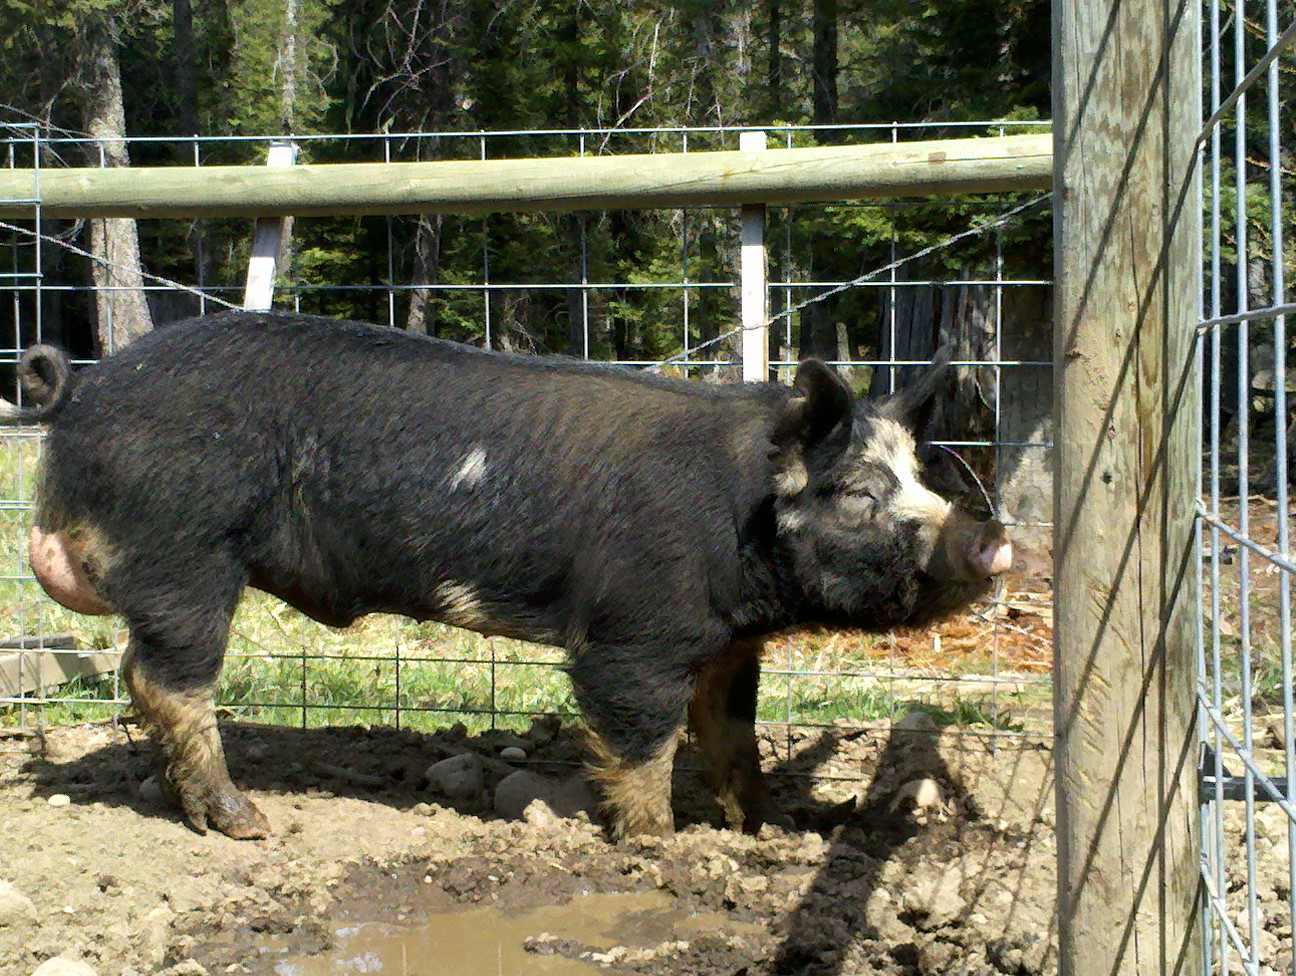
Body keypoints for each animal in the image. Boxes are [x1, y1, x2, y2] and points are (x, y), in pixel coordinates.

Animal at [2, 311, 1011, 839]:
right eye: (856, 493)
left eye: (924, 478)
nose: (989, 537)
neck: (743, 515)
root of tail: (86, 386)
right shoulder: (634, 634)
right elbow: (642, 741)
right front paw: (658, 842)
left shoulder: (728, 644)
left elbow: (733, 737)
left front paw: (756, 829)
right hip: (187, 552)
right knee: (166, 679)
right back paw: (245, 820)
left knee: (140, 674)